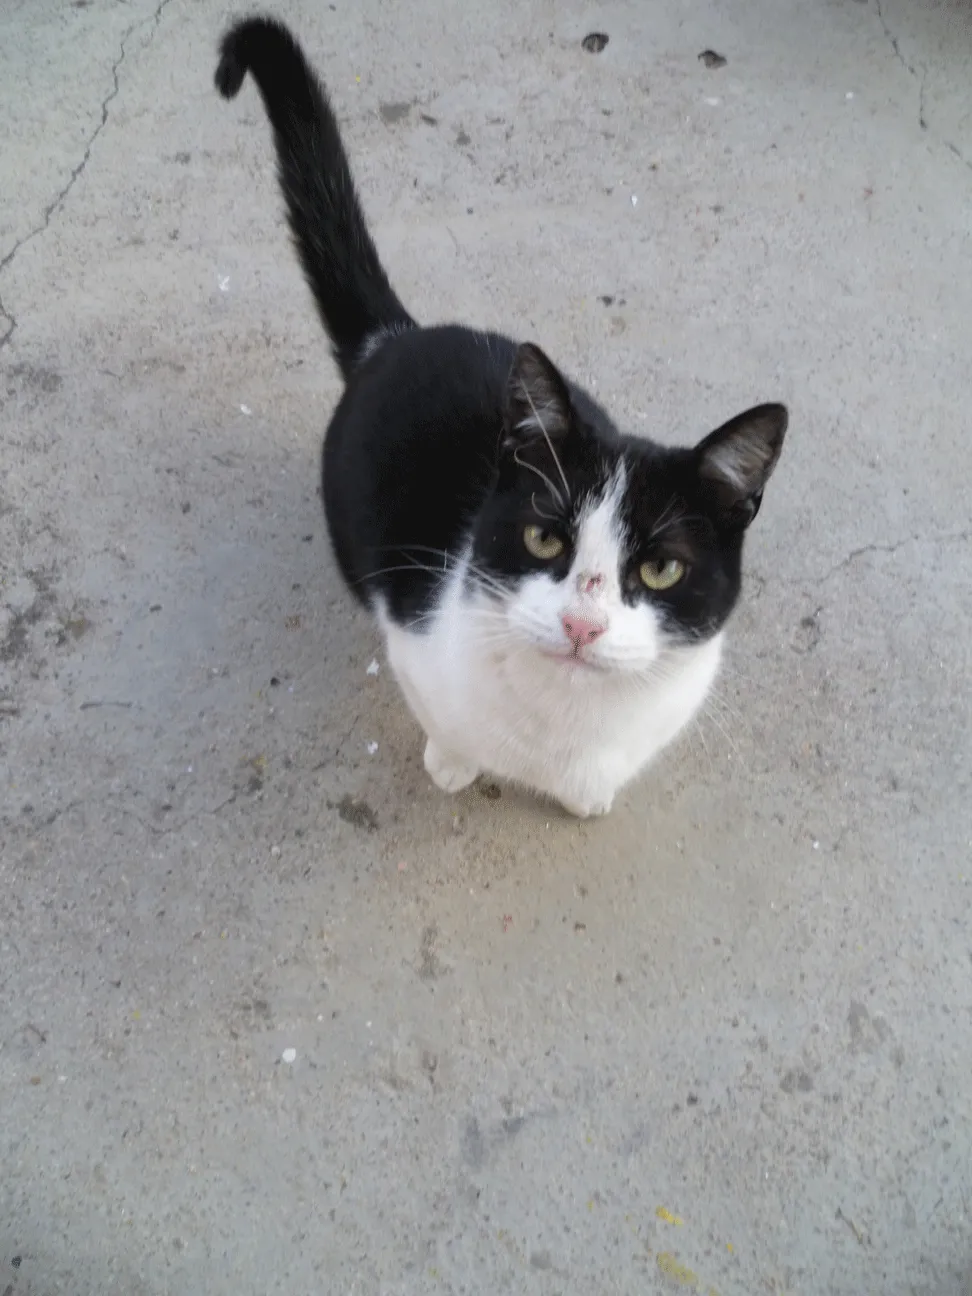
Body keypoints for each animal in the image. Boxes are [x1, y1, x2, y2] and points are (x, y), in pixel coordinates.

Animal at [216, 15, 787, 813]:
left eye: (662, 569)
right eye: (544, 540)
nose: (582, 624)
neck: (572, 720)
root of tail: (398, 337)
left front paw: (589, 796)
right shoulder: (416, 641)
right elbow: (446, 723)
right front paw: (452, 764)